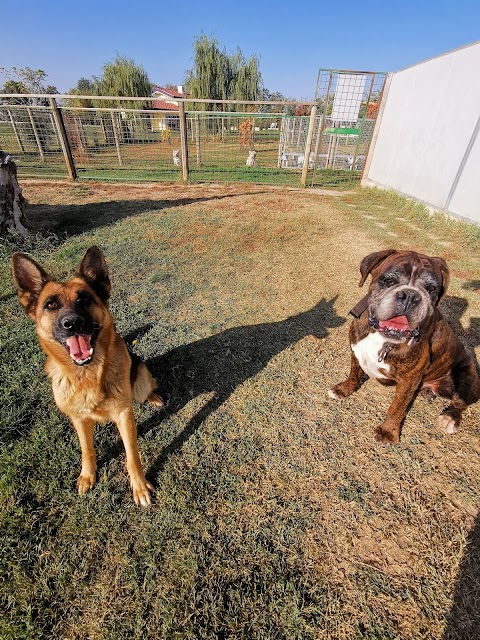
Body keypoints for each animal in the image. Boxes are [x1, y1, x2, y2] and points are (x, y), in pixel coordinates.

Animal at [12, 245, 163, 504]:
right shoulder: (79, 419)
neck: (88, 375)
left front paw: (140, 487)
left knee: (146, 386)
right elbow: (87, 449)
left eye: (84, 299)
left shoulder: (124, 415)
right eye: (50, 305)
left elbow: (132, 456)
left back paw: (154, 398)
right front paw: (87, 476)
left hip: (141, 378)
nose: (72, 323)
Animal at [328, 250, 480, 444]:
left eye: (431, 289)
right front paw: (344, 389)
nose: (410, 296)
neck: (381, 337)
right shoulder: (356, 352)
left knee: (460, 403)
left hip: (469, 376)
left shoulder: (409, 380)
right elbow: (354, 374)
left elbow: (397, 407)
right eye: (389, 281)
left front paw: (388, 431)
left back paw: (450, 418)